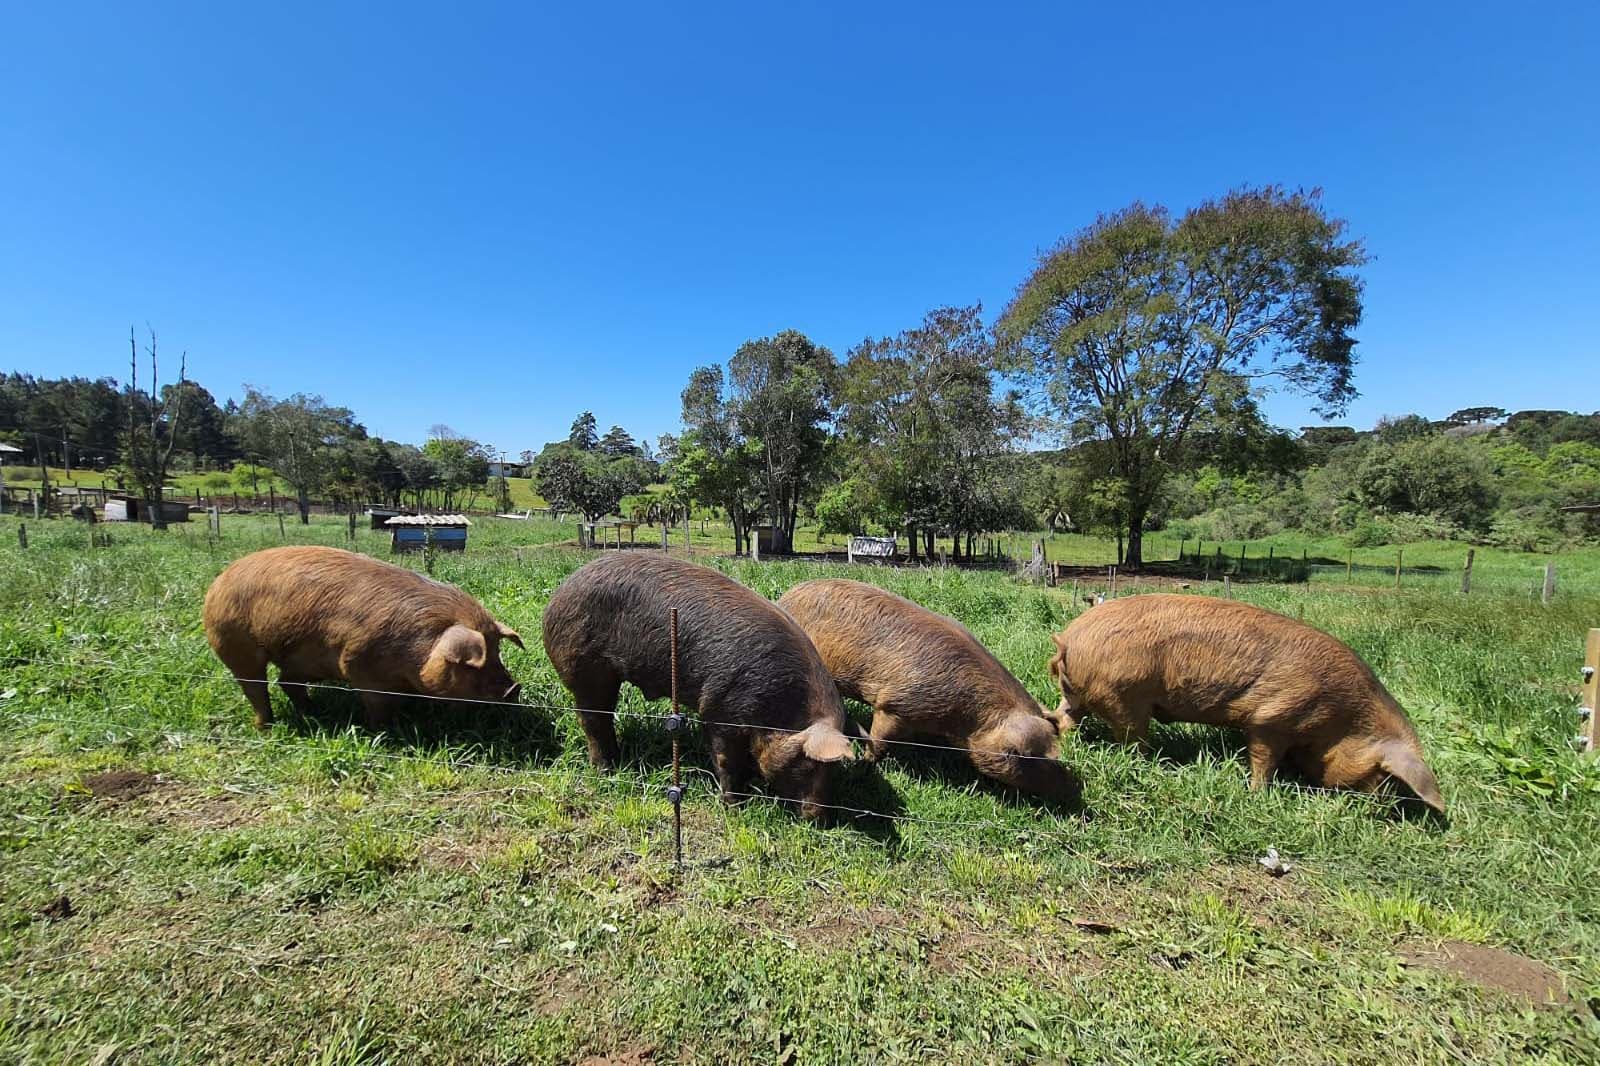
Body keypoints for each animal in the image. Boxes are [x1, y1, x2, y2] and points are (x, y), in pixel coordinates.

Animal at [203, 546, 524, 730]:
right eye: (473, 663)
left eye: (498, 650)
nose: (515, 688)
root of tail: (219, 580)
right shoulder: (359, 666)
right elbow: (378, 705)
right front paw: (385, 731)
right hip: (233, 644)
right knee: (255, 687)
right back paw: (266, 727)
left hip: (302, 659)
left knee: (287, 682)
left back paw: (313, 712)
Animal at [541, 553, 856, 819]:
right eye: (809, 763)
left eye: (835, 770)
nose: (818, 818)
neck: (780, 710)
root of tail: (557, 596)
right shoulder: (719, 707)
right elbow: (725, 759)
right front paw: (734, 807)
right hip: (584, 667)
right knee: (592, 719)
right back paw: (606, 769)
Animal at [778, 578, 1081, 805]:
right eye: (1033, 759)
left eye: (1056, 748)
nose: (1072, 790)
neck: (963, 719)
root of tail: (788, 595)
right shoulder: (893, 705)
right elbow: (879, 742)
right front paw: (865, 766)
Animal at [1048, 594, 1444, 813]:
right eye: (1381, 772)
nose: (1382, 806)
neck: (1344, 717)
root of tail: (1069, 637)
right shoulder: (1272, 718)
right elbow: (1263, 759)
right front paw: (1259, 794)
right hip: (1126, 698)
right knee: (1132, 740)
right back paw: (1152, 764)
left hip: (1079, 695)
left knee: (1065, 718)